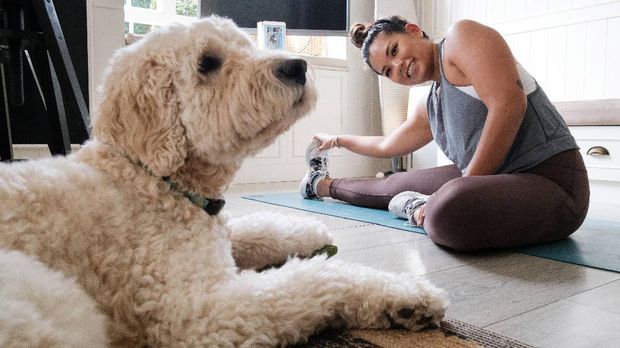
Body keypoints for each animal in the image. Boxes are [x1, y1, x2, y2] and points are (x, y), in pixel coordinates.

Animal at [0, 15, 448, 346]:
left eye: (245, 45)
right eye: (207, 63)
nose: (297, 66)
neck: (151, 179)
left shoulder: (213, 234)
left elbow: (256, 228)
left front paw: (308, 231)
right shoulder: (202, 310)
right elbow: (318, 278)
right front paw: (405, 295)